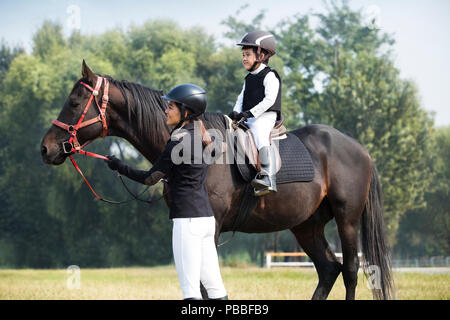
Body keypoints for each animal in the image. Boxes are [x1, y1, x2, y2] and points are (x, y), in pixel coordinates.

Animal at [41, 60, 394, 300]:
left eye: (74, 102)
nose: (46, 148)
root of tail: (358, 148)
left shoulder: (208, 227)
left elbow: (204, 284)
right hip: (306, 225)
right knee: (329, 268)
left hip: (347, 220)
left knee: (350, 270)